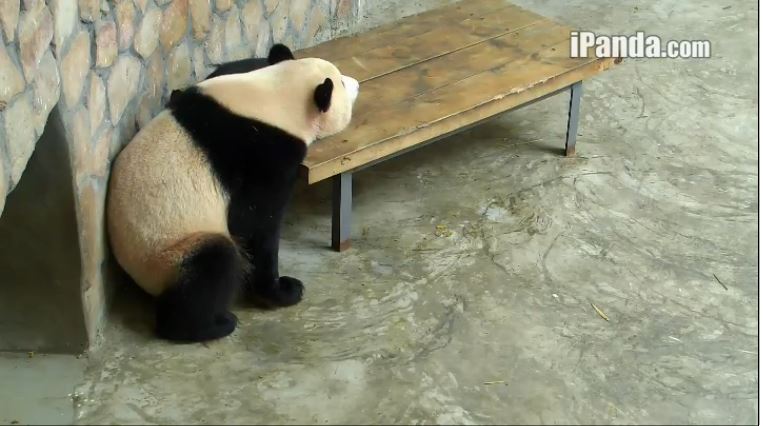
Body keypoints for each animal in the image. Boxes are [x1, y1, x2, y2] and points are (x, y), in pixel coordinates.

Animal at [106, 44, 360, 343]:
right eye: (340, 83)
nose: (355, 83)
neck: (276, 98)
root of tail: (135, 274)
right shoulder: (263, 155)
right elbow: (255, 224)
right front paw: (282, 290)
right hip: (169, 251)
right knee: (214, 263)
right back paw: (211, 325)